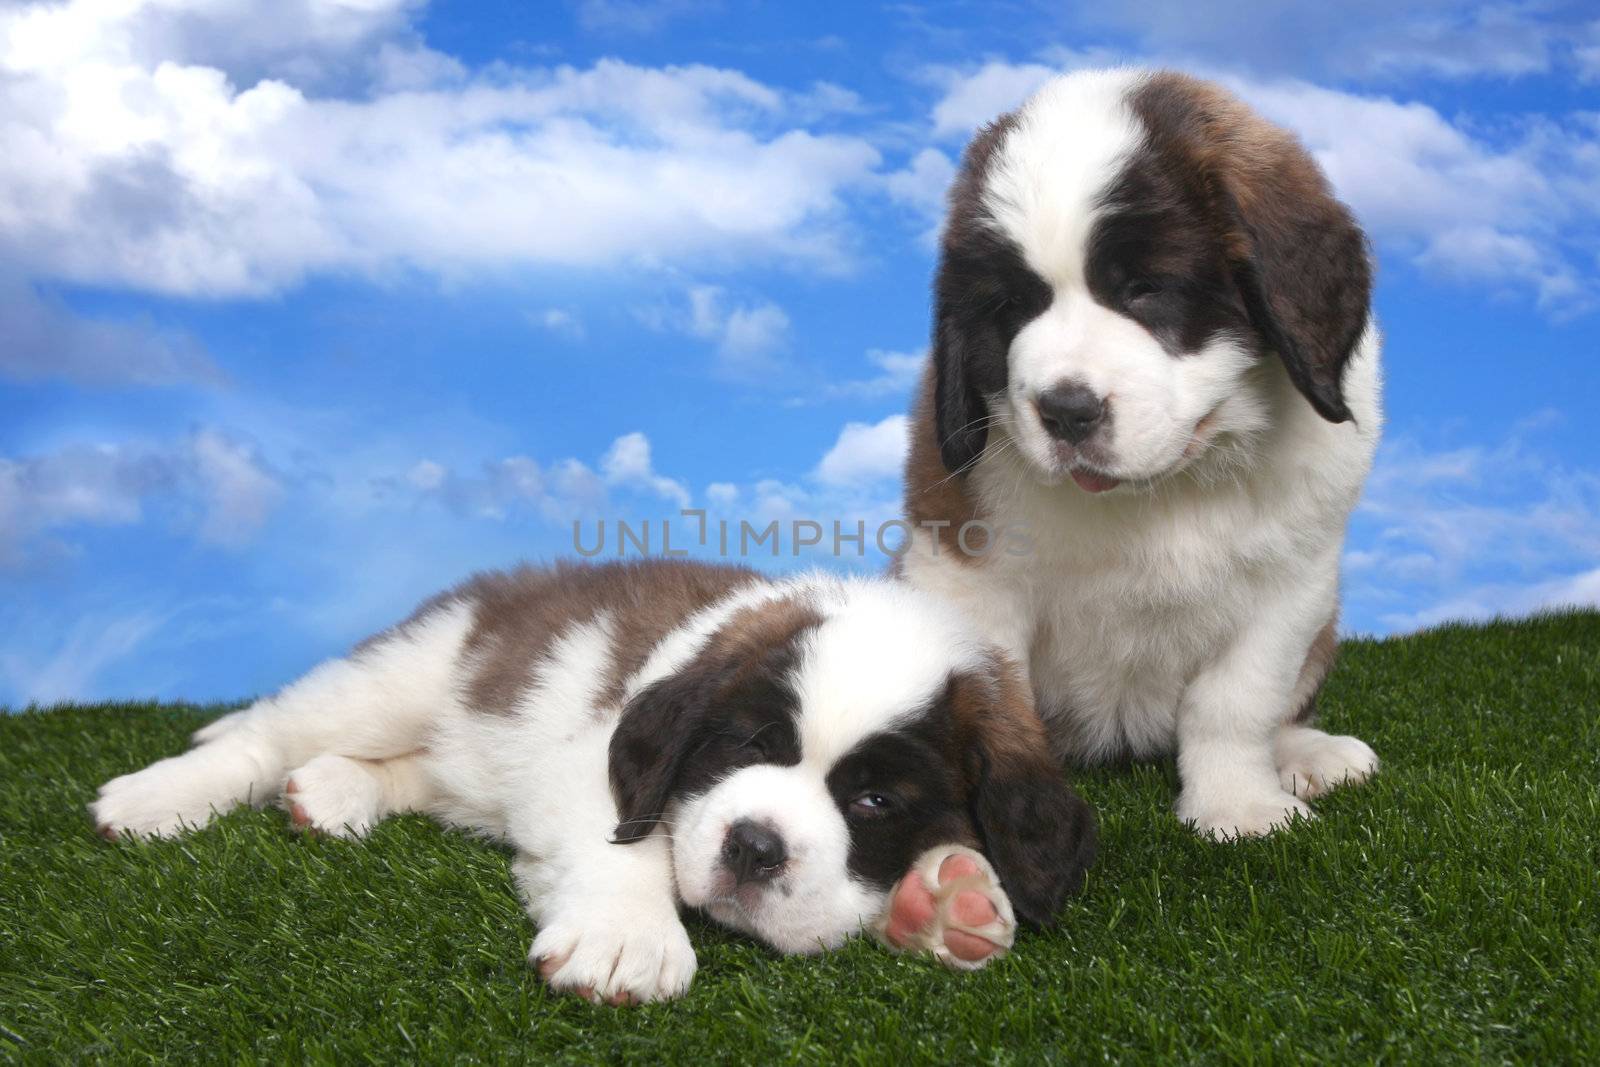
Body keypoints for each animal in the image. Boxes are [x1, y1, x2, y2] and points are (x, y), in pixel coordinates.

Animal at [93, 563, 1094, 1004]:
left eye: (876, 801)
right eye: (747, 746)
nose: (754, 847)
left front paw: (945, 898)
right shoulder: (591, 756)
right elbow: (630, 844)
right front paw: (627, 938)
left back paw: (334, 792)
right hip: (404, 677)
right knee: (268, 731)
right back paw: (158, 796)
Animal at [902, 70, 1388, 844]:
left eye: (1145, 289)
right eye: (1013, 306)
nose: (1065, 410)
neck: (1168, 487)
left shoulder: (1293, 585)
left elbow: (1236, 700)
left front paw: (1236, 805)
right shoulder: (963, 573)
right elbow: (992, 700)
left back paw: (1307, 752)